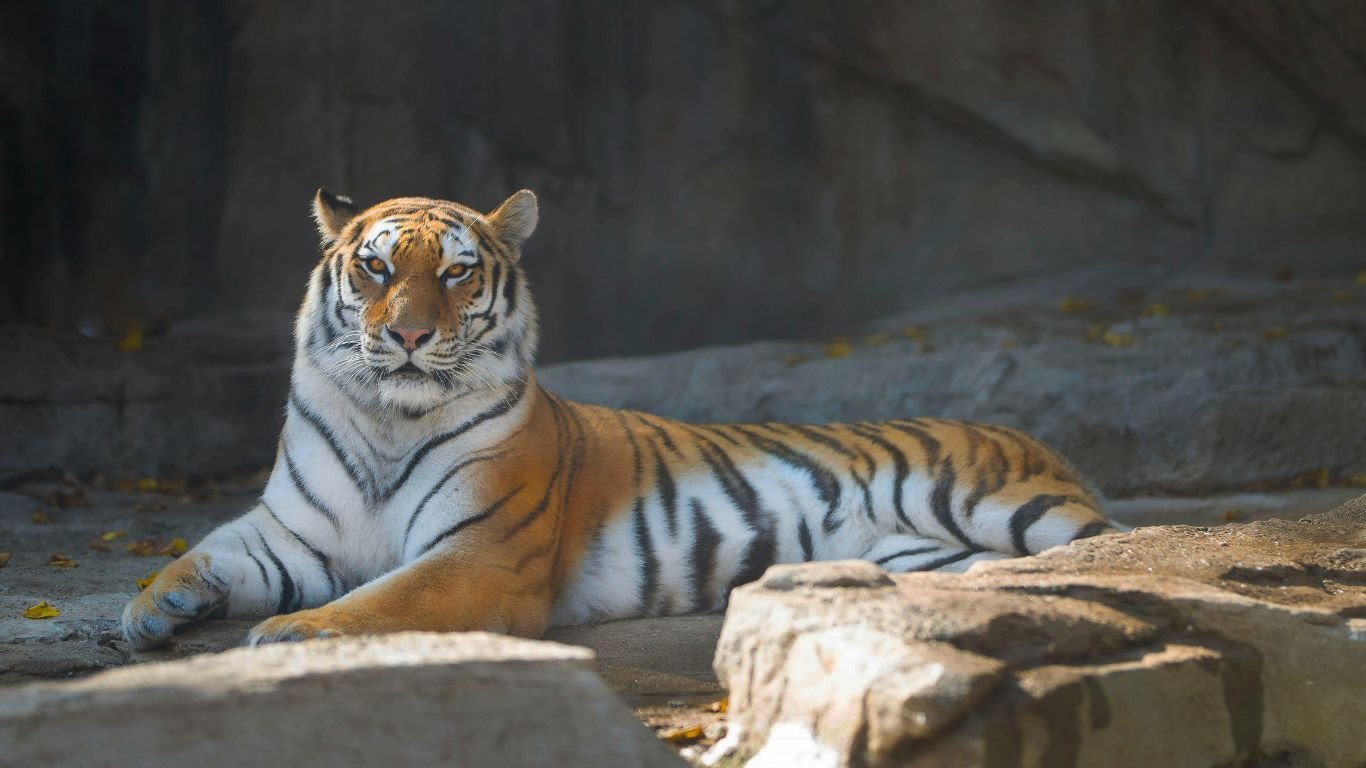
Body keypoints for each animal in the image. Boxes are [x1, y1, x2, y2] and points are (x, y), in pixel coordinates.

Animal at [122, 187, 1114, 645]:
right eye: (373, 267)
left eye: (454, 272)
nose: (405, 335)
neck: (387, 420)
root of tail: (1029, 436)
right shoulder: (293, 533)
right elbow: (206, 550)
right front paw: (150, 608)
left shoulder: (481, 554)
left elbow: (385, 597)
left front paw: (294, 634)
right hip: (931, 554)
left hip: (1004, 504)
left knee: (1104, 543)